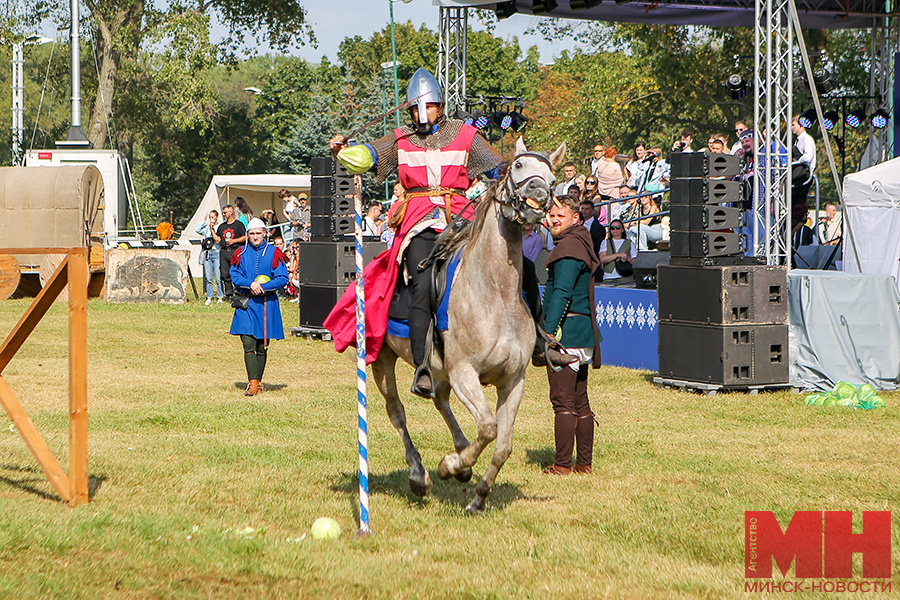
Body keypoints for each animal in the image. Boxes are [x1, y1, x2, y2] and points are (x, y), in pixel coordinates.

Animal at [370, 138, 568, 512]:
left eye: (552, 176)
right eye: (518, 167)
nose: (538, 194)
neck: (495, 291)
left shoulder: (513, 380)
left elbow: (502, 444)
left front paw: (478, 495)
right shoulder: (464, 372)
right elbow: (489, 428)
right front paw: (449, 465)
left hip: (438, 369)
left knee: (439, 399)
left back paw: (459, 456)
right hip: (382, 359)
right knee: (396, 411)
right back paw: (420, 475)